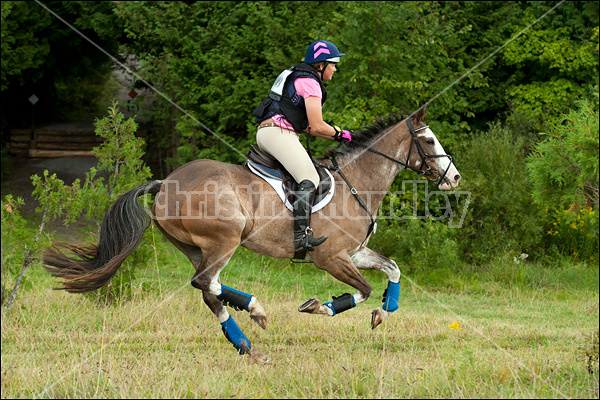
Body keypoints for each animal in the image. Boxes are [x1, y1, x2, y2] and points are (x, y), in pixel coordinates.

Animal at [44, 106, 462, 362]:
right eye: (428, 141)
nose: (455, 178)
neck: (356, 181)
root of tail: (166, 182)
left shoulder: (354, 252)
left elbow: (391, 269)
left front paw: (383, 312)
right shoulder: (330, 257)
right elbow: (363, 289)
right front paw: (323, 307)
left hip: (194, 247)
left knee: (207, 289)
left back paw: (249, 342)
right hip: (225, 238)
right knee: (207, 283)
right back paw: (254, 314)